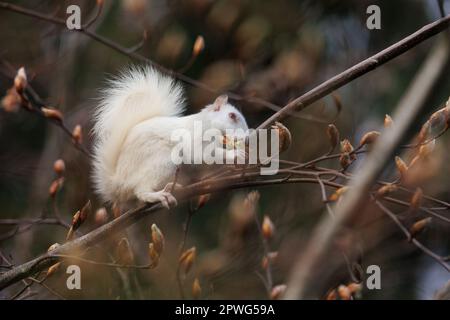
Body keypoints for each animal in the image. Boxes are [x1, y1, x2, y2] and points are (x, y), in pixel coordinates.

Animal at [90, 66, 248, 209]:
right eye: (232, 116)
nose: (246, 138)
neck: (209, 125)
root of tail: (118, 183)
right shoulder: (196, 137)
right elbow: (203, 154)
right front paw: (235, 154)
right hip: (163, 161)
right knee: (141, 191)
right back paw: (159, 195)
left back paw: (172, 187)